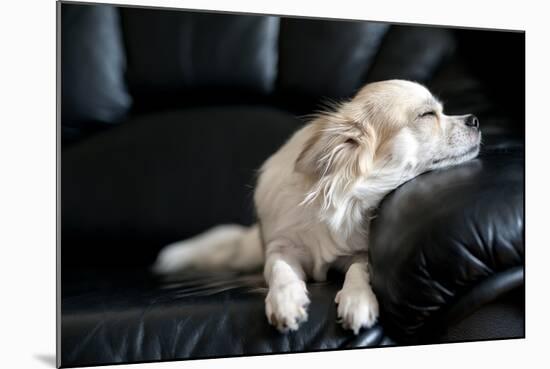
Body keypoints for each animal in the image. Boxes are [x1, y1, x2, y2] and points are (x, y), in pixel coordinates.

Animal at [154, 80, 484, 334]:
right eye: (427, 115)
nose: (475, 119)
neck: (343, 197)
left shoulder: (359, 253)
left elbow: (359, 269)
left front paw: (357, 300)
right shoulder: (279, 247)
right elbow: (280, 270)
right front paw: (286, 301)